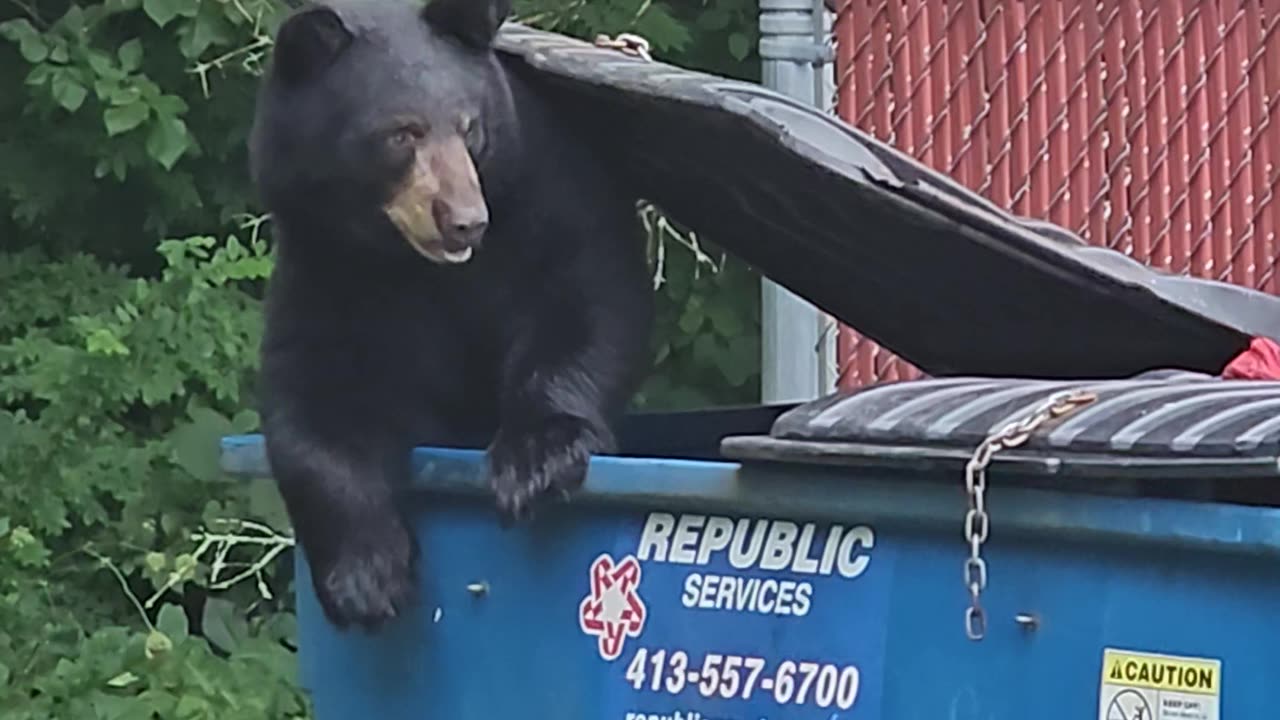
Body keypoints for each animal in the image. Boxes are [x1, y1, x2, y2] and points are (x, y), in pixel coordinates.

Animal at [245, 0, 655, 627]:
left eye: (470, 127)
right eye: (401, 133)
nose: (464, 221)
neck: (416, 265)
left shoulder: (544, 194)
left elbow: (587, 301)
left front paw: (536, 462)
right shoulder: (330, 269)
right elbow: (316, 396)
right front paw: (366, 576)